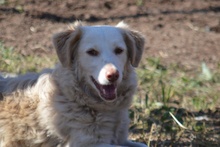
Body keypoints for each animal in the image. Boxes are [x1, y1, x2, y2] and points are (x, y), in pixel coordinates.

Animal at [0, 21, 148, 147]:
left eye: (119, 50)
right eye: (92, 52)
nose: (113, 75)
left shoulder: (121, 139)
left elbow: (143, 145)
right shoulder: (84, 143)